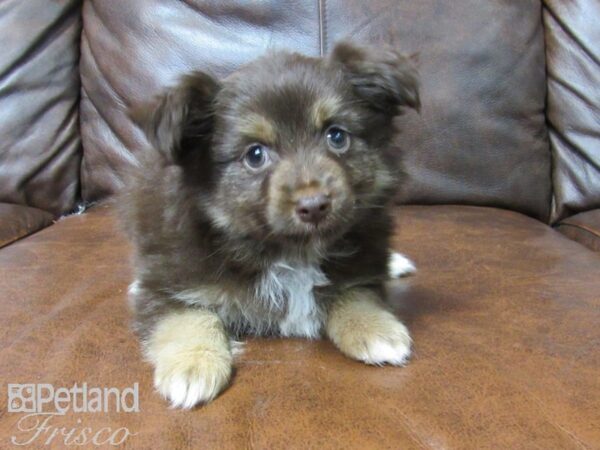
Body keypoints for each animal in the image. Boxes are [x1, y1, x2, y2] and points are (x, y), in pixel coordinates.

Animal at [121, 41, 420, 408]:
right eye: (255, 155)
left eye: (336, 136)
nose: (314, 205)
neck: (289, 252)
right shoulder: (170, 281)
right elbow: (187, 316)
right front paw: (193, 365)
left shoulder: (364, 258)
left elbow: (356, 291)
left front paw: (377, 329)